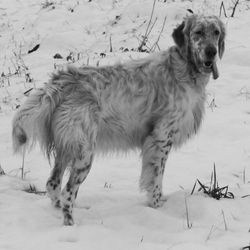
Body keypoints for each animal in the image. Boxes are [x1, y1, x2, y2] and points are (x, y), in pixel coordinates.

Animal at [12, 14, 226, 226]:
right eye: (198, 32)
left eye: (216, 32)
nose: (211, 51)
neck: (185, 70)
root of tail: (62, 82)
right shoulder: (161, 138)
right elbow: (156, 179)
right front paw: (157, 207)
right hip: (84, 152)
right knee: (67, 192)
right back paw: (71, 224)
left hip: (67, 147)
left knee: (53, 184)